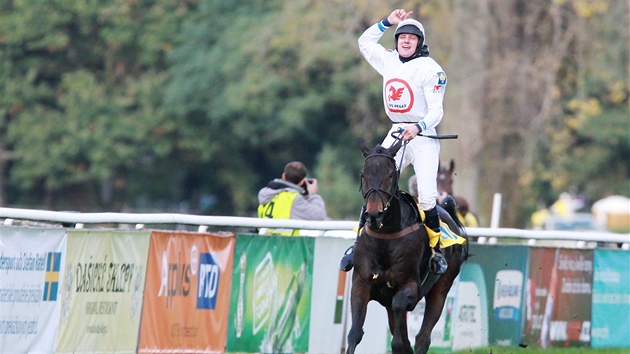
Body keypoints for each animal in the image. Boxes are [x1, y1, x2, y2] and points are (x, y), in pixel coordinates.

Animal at [346, 139, 470, 354]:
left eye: (390, 174)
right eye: (363, 174)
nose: (374, 215)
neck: (386, 237)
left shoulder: (411, 286)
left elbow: (399, 320)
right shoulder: (361, 284)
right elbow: (355, 333)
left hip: (442, 287)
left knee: (422, 337)